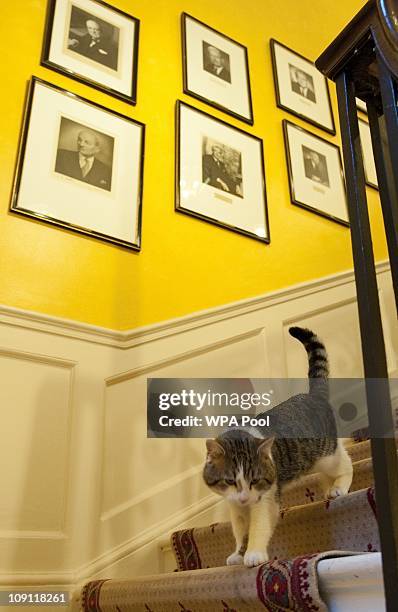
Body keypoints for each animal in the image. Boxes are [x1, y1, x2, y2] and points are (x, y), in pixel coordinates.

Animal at [204, 326, 352, 568]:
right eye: (229, 481)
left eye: (255, 480)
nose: (244, 498)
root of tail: (313, 396)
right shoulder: (235, 506)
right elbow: (240, 531)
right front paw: (238, 553)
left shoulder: (266, 498)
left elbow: (258, 526)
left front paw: (253, 553)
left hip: (326, 455)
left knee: (345, 462)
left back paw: (339, 486)